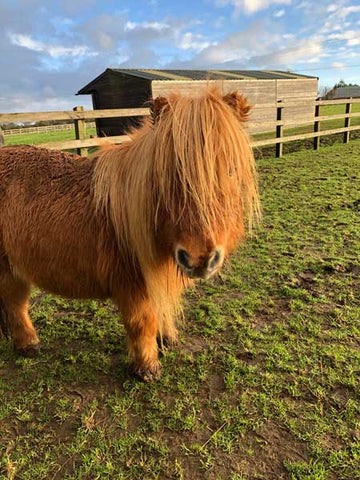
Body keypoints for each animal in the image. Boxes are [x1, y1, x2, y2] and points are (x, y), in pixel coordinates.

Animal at [0, 88, 260, 382]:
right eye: (167, 175)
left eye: (230, 170)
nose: (200, 259)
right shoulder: (131, 283)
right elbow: (142, 323)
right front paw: (147, 367)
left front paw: (166, 340)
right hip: (8, 269)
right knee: (16, 304)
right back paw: (29, 344)